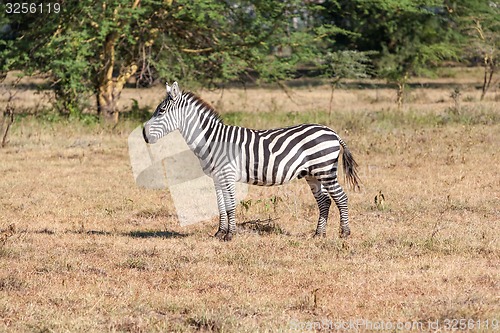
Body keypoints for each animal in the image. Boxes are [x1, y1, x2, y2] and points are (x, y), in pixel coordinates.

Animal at [142, 81, 360, 240]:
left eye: (161, 111)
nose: (144, 134)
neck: (212, 139)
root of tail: (331, 131)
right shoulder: (217, 177)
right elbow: (220, 205)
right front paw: (219, 233)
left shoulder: (228, 174)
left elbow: (230, 205)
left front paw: (230, 235)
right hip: (312, 174)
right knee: (324, 201)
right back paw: (318, 234)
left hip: (325, 170)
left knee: (341, 198)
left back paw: (344, 233)